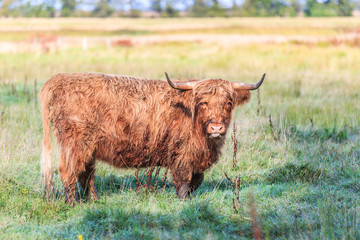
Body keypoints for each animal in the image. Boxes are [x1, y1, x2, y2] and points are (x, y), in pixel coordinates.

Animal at [40, 71, 264, 204]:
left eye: (228, 103)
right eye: (203, 102)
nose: (216, 127)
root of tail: (59, 79)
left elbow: (197, 180)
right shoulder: (182, 155)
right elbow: (184, 181)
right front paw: (184, 202)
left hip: (89, 146)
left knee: (86, 174)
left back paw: (95, 201)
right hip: (76, 142)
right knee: (68, 171)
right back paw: (73, 204)